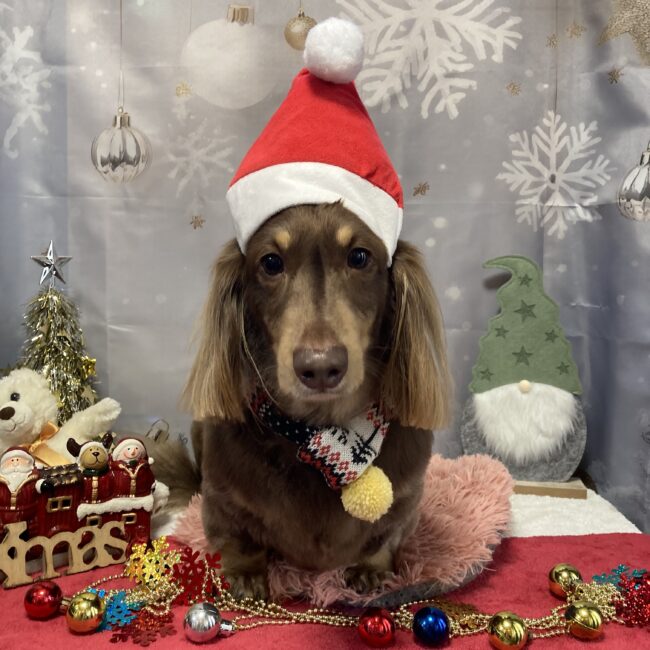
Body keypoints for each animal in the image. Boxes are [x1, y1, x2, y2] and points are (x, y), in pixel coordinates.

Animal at [183, 201, 450, 598]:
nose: (321, 368)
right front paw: (245, 574)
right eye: (271, 262)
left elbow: (386, 537)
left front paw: (370, 567)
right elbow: (237, 538)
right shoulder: (220, 499)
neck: (319, 429)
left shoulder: (407, 498)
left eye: (359, 257)